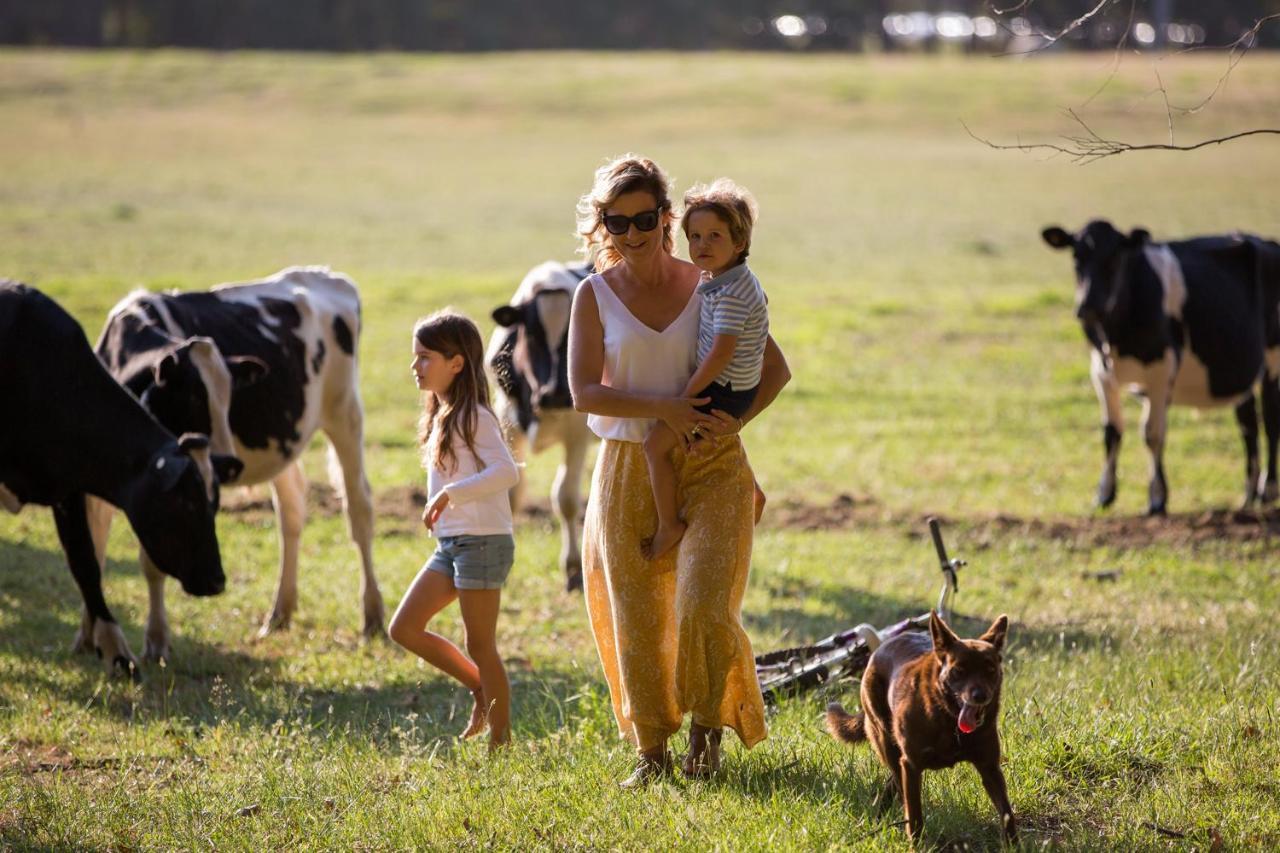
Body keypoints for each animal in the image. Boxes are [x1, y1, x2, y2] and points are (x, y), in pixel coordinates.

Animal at [0, 281, 225, 676]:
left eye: (214, 503)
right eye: (186, 503)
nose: (217, 579)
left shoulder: (68, 489)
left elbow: (86, 564)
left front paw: (116, 650)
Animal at [94, 262, 384, 660]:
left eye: (230, 397)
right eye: (191, 397)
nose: (226, 461)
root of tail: (326, 275)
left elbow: (151, 563)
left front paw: (156, 641)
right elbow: (93, 548)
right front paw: (88, 639)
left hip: (344, 413)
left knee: (358, 510)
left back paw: (373, 617)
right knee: (291, 510)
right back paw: (279, 613)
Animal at [483, 261, 593, 591]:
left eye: (575, 331)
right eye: (530, 333)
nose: (555, 392)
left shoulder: (578, 434)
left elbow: (566, 498)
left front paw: (572, 568)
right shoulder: (508, 425)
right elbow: (511, 495)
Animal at [824, 607, 1013, 840]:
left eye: (991, 670)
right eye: (959, 670)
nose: (980, 696)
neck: (948, 720)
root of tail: (881, 647)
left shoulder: (990, 767)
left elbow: (1007, 814)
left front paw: (1014, 844)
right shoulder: (911, 766)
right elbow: (914, 814)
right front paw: (917, 843)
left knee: (893, 783)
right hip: (887, 743)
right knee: (898, 783)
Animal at [1039, 219, 1280, 512]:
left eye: (1115, 258)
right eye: (1076, 257)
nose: (1088, 307)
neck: (1115, 333)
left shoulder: (1161, 369)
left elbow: (1152, 432)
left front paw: (1157, 498)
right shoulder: (1100, 371)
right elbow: (1111, 432)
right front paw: (1104, 494)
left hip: (1272, 358)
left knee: (1271, 420)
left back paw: (1268, 489)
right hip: (1237, 369)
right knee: (1249, 425)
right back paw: (1248, 497)